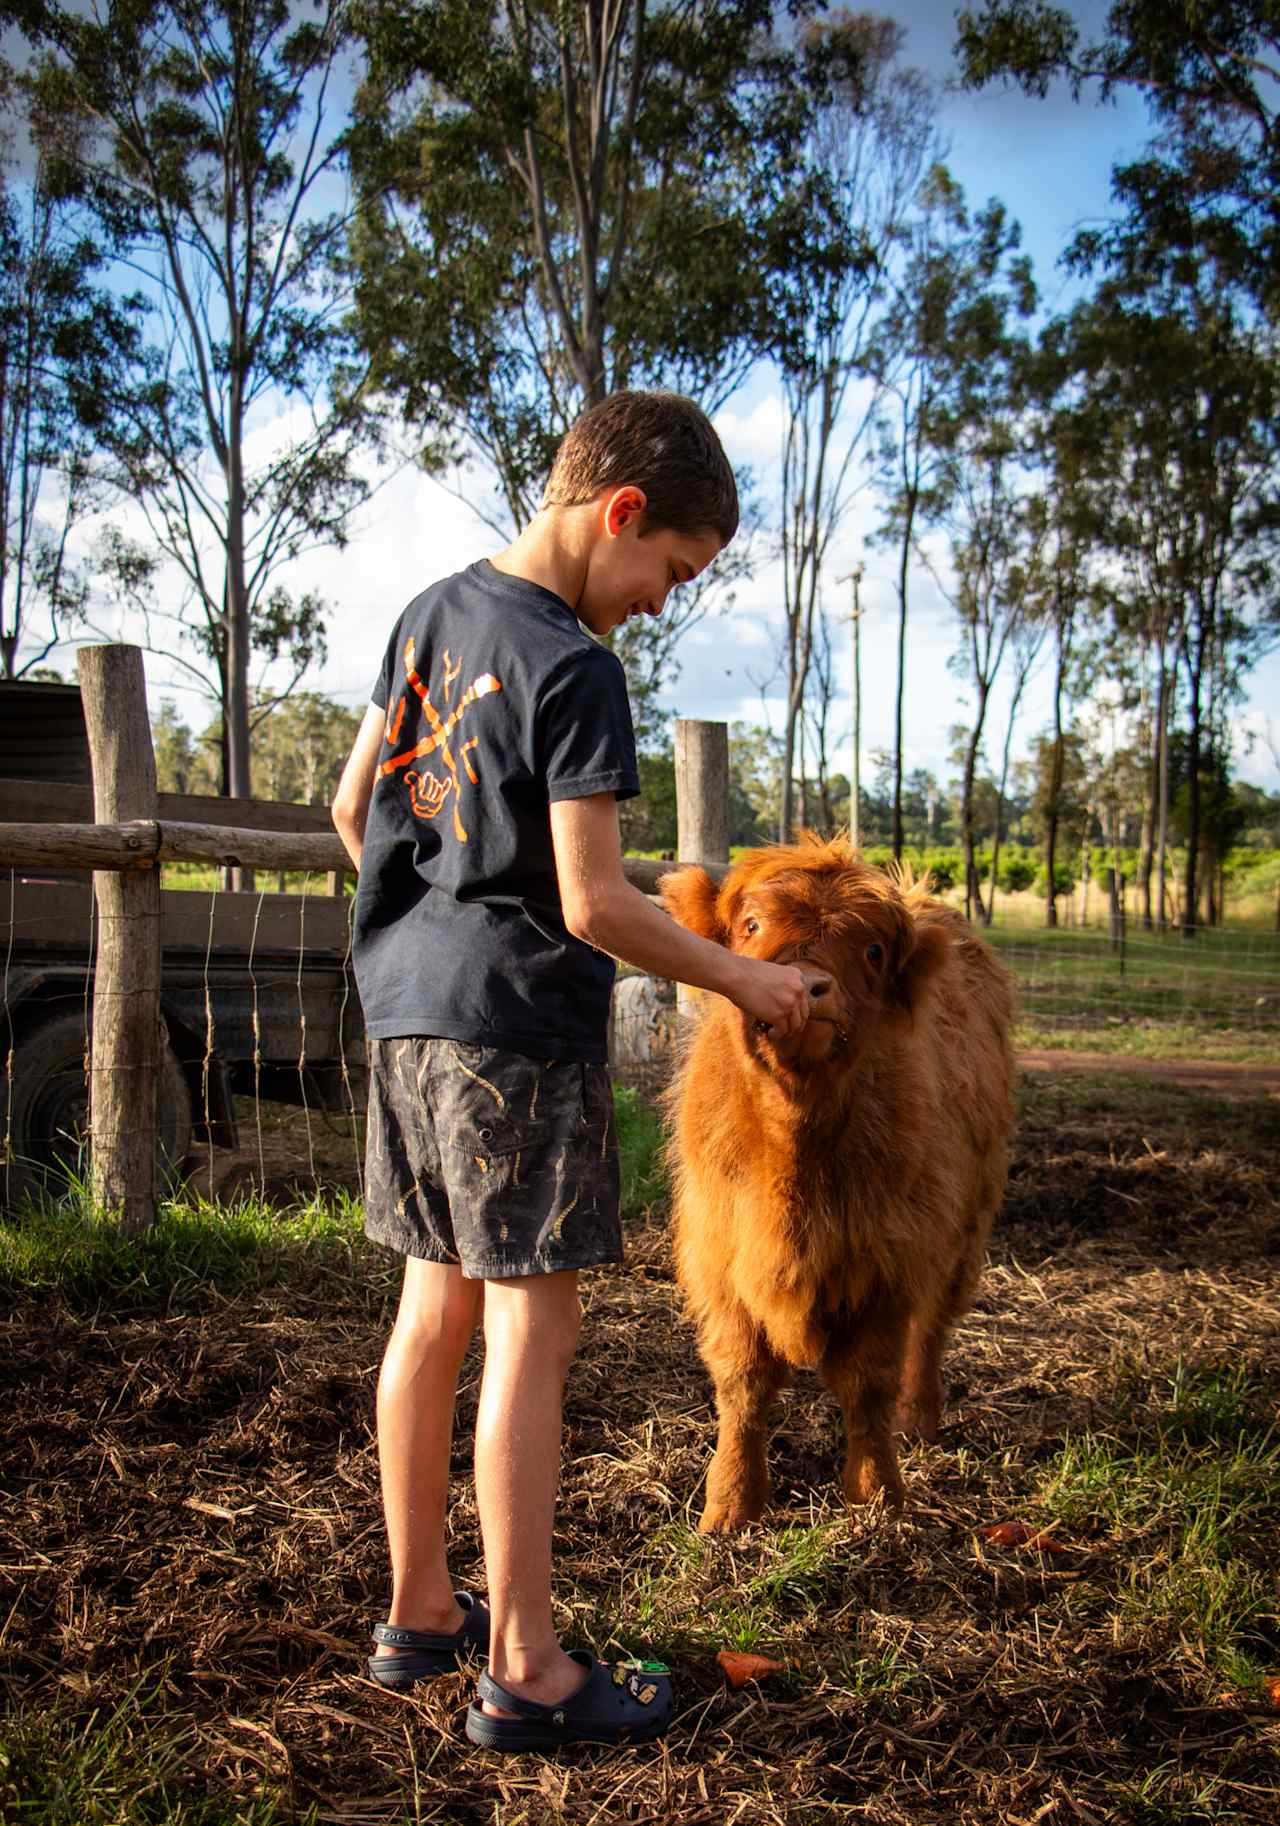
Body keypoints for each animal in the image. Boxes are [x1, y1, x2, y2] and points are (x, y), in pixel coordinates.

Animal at [657, 836, 1007, 1533]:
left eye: (871, 950)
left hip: (965, 1224)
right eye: (751, 926)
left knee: (933, 1326)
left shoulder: (887, 1261)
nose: (807, 988)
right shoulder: (720, 1259)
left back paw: (919, 1419)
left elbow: (868, 1384)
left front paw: (877, 1499)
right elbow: (742, 1384)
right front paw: (730, 1508)